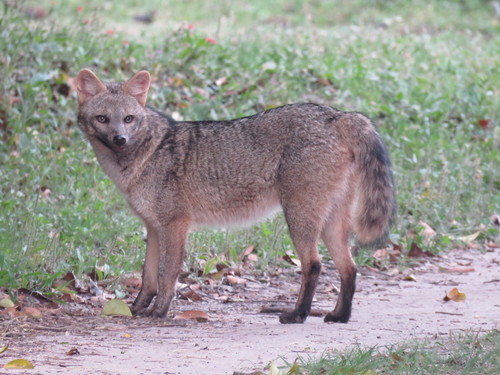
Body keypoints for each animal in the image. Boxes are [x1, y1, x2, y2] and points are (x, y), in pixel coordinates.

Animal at [75, 69, 394, 324]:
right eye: (103, 119)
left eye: (128, 119)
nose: (120, 139)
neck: (146, 153)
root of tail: (337, 115)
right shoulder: (153, 227)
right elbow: (148, 276)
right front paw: (136, 308)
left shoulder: (175, 225)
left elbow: (167, 276)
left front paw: (159, 312)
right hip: (329, 225)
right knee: (349, 268)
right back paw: (339, 316)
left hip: (299, 218)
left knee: (314, 265)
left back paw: (297, 315)